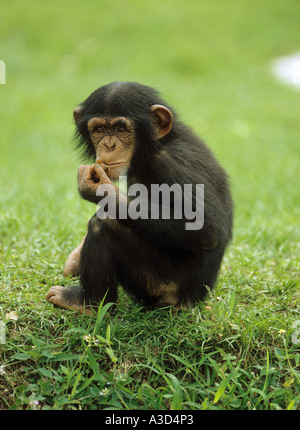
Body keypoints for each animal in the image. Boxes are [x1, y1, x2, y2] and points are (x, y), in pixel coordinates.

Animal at [45, 81, 233, 316]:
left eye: (121, 129)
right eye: (99, 130)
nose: (109, 145)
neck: (154, 148)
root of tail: (192, 302)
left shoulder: (172, 163)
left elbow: (205, 227)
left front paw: (101, 190)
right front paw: (74, 259)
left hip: (161, 287)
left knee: (103, 225)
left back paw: (88, 304)